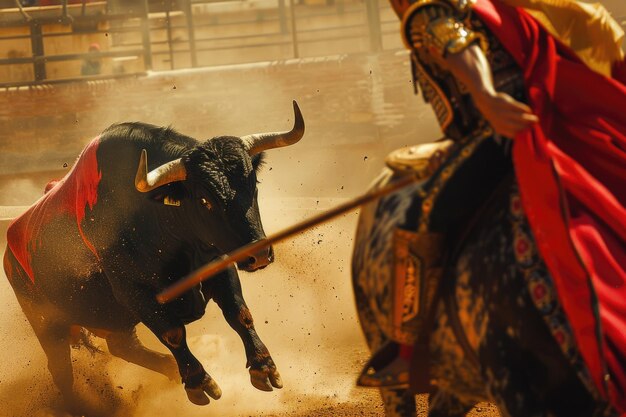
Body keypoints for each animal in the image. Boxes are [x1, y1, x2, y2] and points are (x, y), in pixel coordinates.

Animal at [2, 101, 304, 412]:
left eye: (253, 186)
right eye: (204, 199)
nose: (259, 255)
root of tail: (10, 253)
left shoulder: (220, 264)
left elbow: (239, 313)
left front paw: (264, 367)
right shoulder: (134, 293)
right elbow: (173, 333)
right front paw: (198, 383)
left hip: (113, 322)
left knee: (124, 347)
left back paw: (169, 370)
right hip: (47, 326)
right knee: (61, 371)